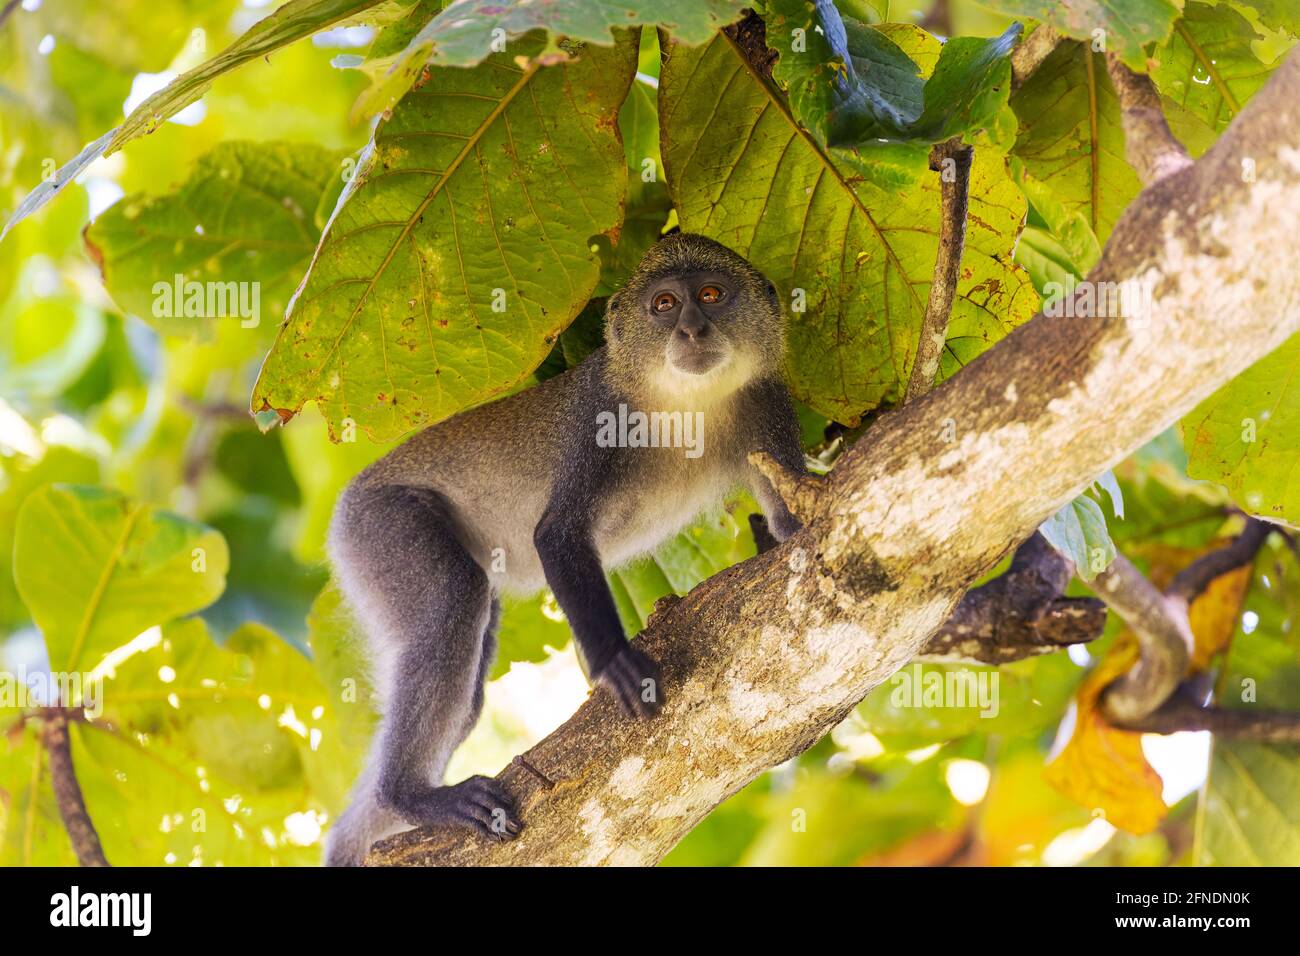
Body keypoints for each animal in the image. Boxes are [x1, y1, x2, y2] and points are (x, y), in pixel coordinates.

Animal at [323, 234, 800, 868]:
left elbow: (794, 523)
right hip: (382, 528)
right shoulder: (599, 414)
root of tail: (349, 505)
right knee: (453, 605)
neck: (685, 403)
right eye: (664, 304)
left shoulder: (768, 404)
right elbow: (557, 533)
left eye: (712, 295)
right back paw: (410, 796)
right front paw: (616, 663)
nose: (692, 330)